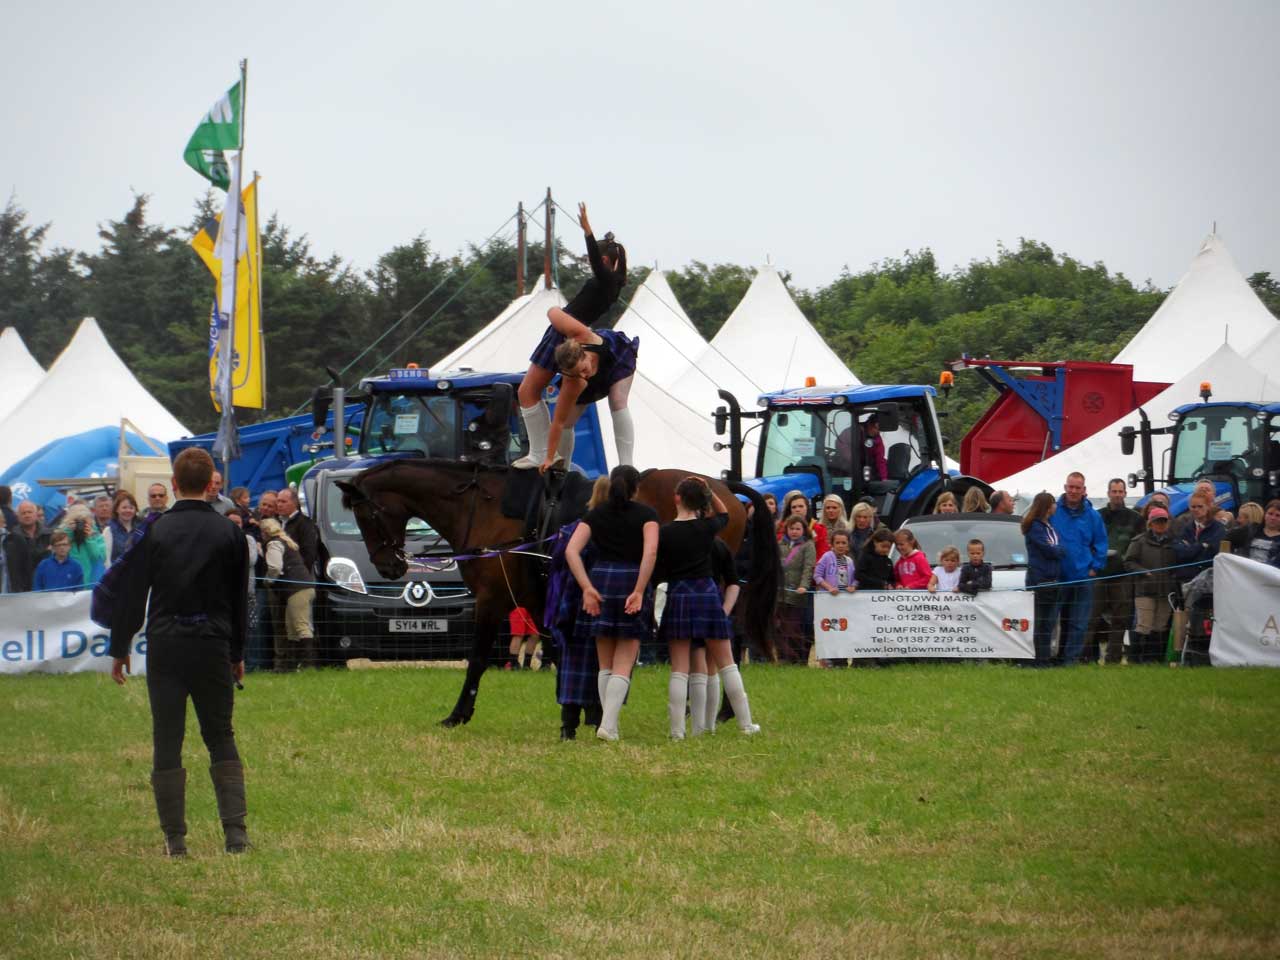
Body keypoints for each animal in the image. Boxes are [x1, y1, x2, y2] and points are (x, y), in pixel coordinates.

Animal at [340, 463, 773, 727]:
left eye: (365, 515)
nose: (389, 567)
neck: (481, 506)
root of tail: (720, 487)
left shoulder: (492, 599)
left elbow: (478, 659)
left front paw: (459, 713)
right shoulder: (540, 598)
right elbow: (560, 652)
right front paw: (583, 709)